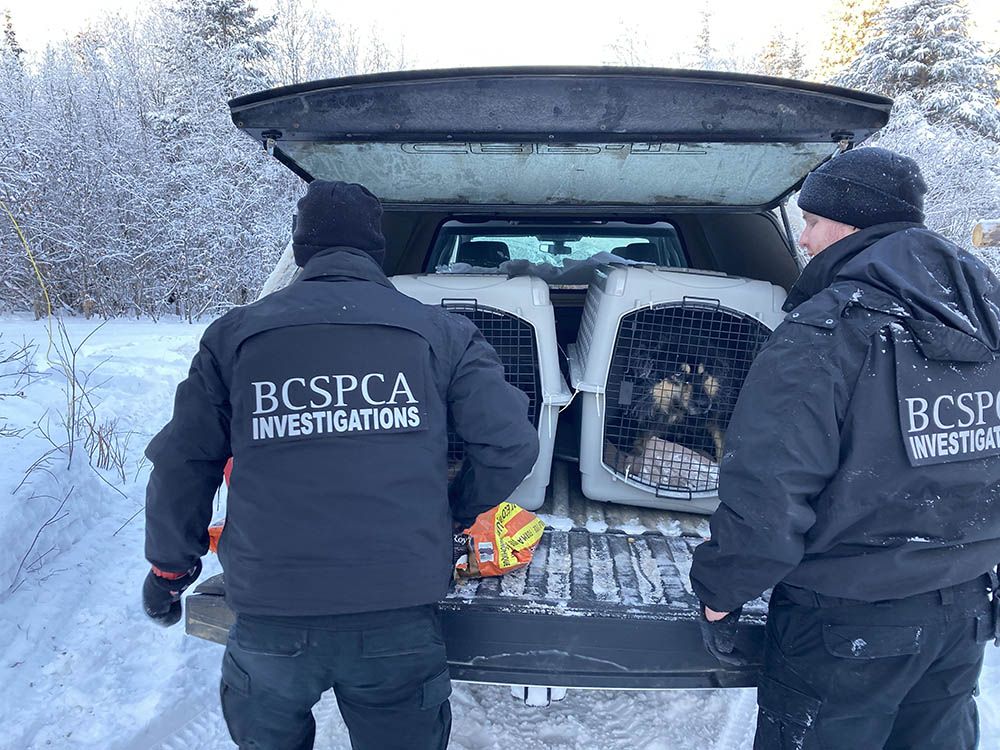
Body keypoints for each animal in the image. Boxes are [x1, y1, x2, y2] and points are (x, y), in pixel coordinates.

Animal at [604, 302, 768, 496]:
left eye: (704, 373)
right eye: (677, 374)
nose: (705, 404)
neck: (678, 412)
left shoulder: (717, 416)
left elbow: (722, 444)